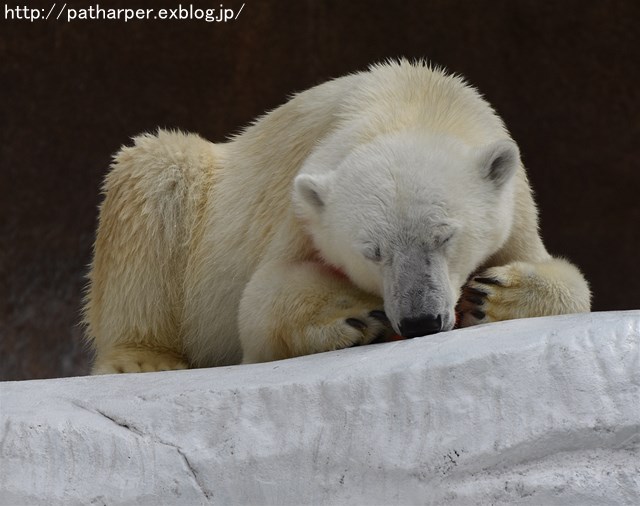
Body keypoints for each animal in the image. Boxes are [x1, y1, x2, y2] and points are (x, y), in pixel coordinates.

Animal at [82, 61, 592, 374]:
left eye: (444, 237)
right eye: (373, 252)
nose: (421, 320)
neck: (415, 101)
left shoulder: (517, 204)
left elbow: (566, 281)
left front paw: (492, 294)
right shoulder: (300, 208)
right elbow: (259, 301)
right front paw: (354, 315)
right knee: (156, 172)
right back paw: (143, 358)